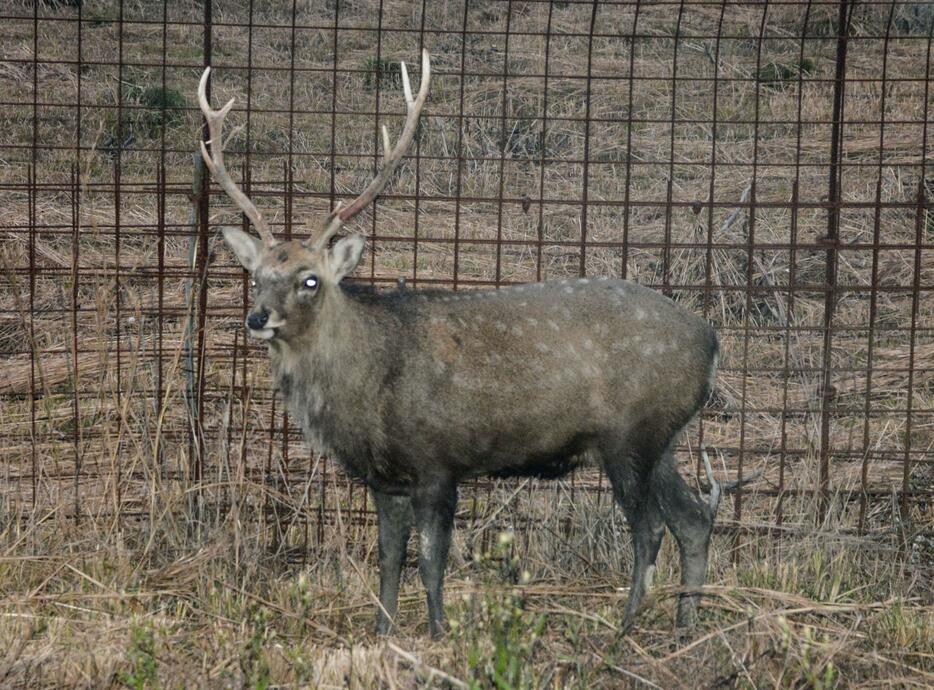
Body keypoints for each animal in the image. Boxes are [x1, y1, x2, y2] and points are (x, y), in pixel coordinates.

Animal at [196, 51, 724, 636]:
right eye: (257, 275)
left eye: (310, 279)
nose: (257, 317)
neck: (368, 388)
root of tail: (711, 340)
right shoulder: (385, 479)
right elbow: (387, 557)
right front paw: (383, 632)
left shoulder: (438, 461)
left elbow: (431, 560)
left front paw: (438, 632)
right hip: (663, 439)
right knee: (694, 519)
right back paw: (685, 625)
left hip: (630, 435)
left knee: (650, 528)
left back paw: (625, 628)